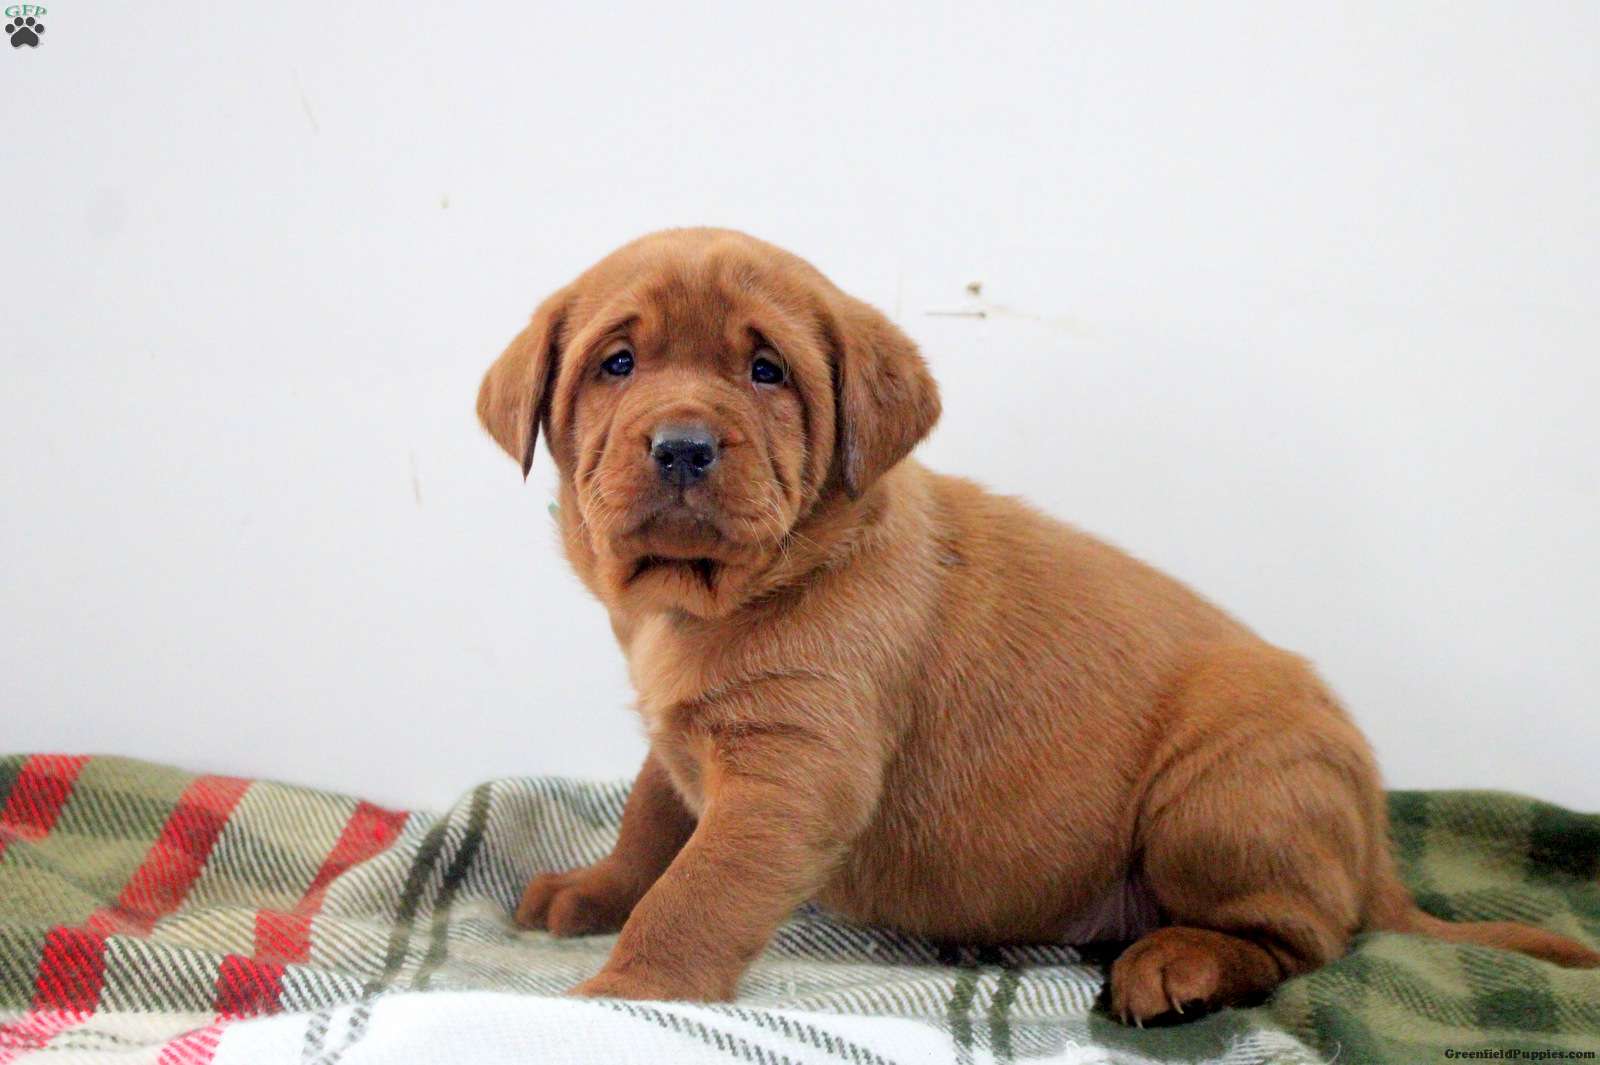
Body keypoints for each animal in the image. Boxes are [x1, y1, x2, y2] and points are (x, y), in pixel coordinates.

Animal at [477, 228, 1598, 1023]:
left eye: (767, 373)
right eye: (618, 364)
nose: (681, 445)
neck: (709, 599)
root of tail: (1370, 837)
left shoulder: (792, 771)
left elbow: (699, 888)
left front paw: (627, 992)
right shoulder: (689, 744)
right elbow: (652, 823)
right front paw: (597, 891)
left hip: (1218, 797)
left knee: (1307, 938)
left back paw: (1180, 964)